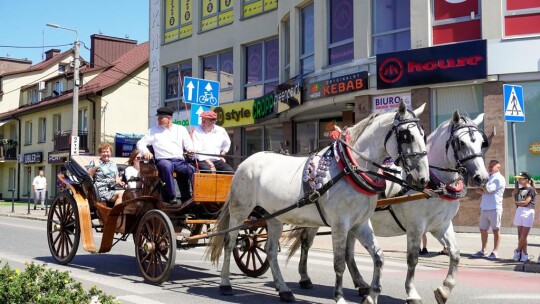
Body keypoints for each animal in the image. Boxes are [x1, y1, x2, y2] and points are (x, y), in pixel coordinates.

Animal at [207, 102, 430, 304]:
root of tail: (246, 162)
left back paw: (284, 290)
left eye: (424, 135)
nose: (423, 179)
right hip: (240, 210)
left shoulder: (360, 223)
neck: (349, 168)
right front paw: (339, 297)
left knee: (270, 251)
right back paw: (225, 284)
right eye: (406, 136)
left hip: (274, 216)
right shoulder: (340, 224)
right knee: (230, 242)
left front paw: (371, 294)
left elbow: (379, 257)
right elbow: (339, 263)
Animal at [286, 110, 490, 302]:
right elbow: (413, 259)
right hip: (318, 219)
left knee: (348, 253)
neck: (434, 181)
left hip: (352, 223)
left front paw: (444, 290)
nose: (482, 177)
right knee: (306, 243)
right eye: (461, 142)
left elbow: (455, 254)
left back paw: (361, 285)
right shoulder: (416, 226)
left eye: (482, 142)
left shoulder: (441, 226)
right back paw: (304, 277)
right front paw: (412, 293)